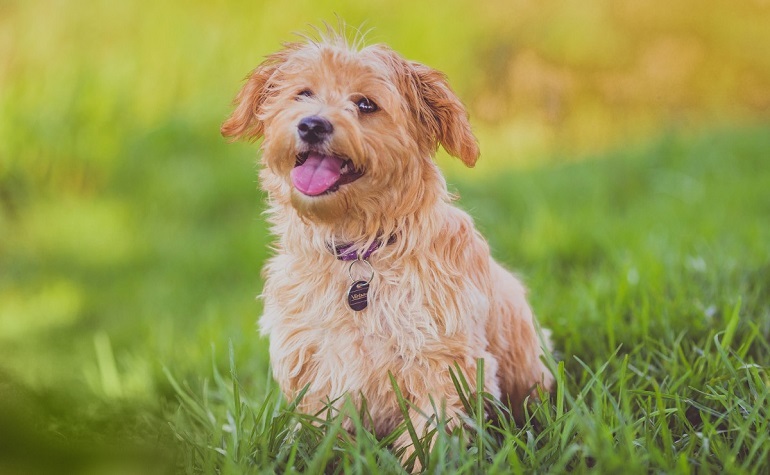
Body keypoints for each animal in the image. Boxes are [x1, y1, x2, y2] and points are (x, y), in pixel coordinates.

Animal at [222, 29, 552, 454]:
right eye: (303, 93)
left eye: (365, 104)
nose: (312, 125)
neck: (359, 249)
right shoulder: (313, 365)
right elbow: (317, 434)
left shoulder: (440, 359)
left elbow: (430, 434)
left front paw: (425, 461)